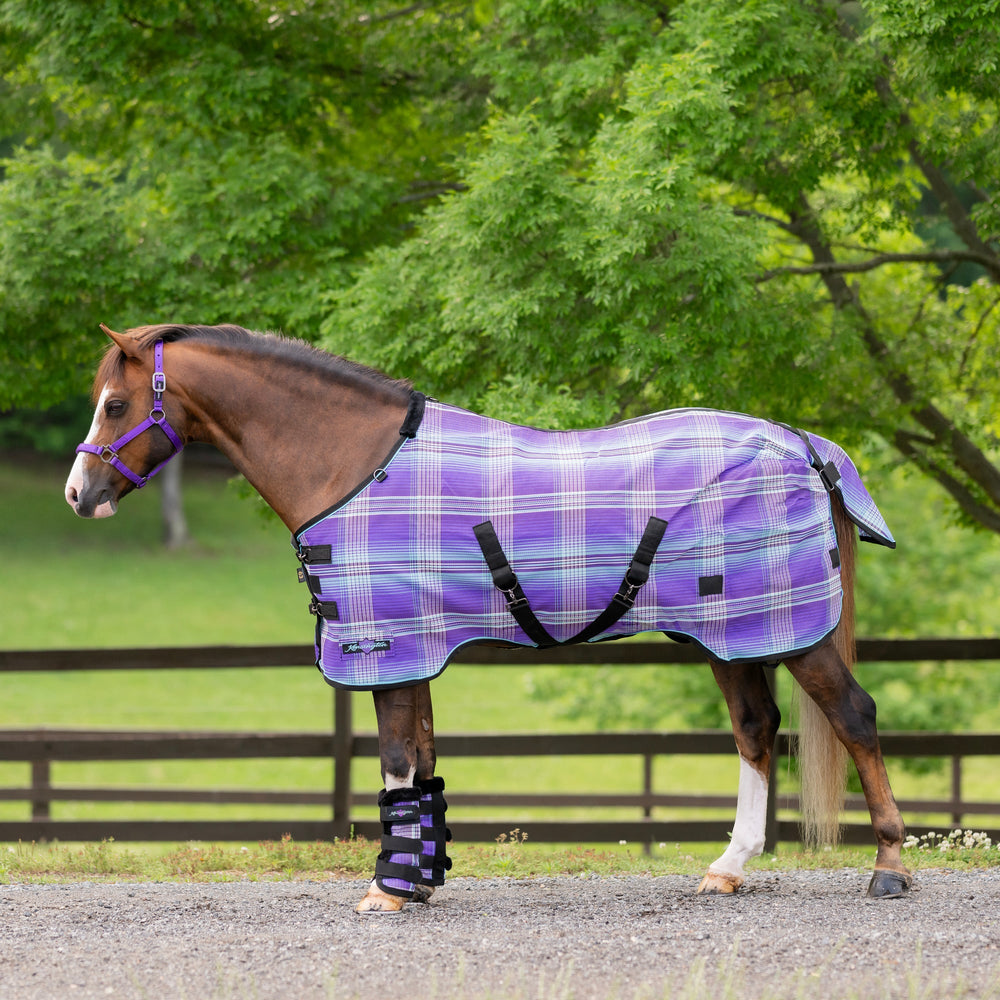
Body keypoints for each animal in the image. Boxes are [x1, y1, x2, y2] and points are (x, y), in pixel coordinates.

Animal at [65, 323, 912, 909]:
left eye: (116, 403)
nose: (79, 494)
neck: (352, 463)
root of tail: (802, 444)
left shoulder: (385, 649)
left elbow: (396, 762)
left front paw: (387, 890)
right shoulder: (415, 652)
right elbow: (422, 764)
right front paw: (419, 878)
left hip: (787, 637)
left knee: (855, 717)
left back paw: (890, 868)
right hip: (733, 635)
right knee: (757, 730)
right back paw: (727, 870)